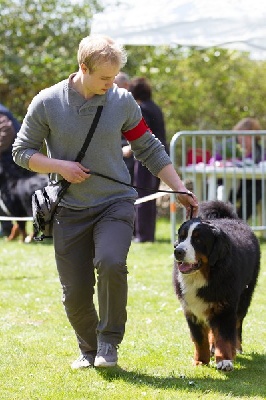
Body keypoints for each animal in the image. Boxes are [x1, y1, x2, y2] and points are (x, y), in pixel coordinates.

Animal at [174, 200, 260, 372]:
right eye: (181, 237)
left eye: (198, 240)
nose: (178, 251)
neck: (202, 276)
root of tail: (230, 218)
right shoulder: (191, 310)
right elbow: (200, 339)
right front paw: (201, 361)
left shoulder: (225, 308)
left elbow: (225, 337)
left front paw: (225, 360)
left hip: (244, 297)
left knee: (237, 324)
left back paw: (236, 348)